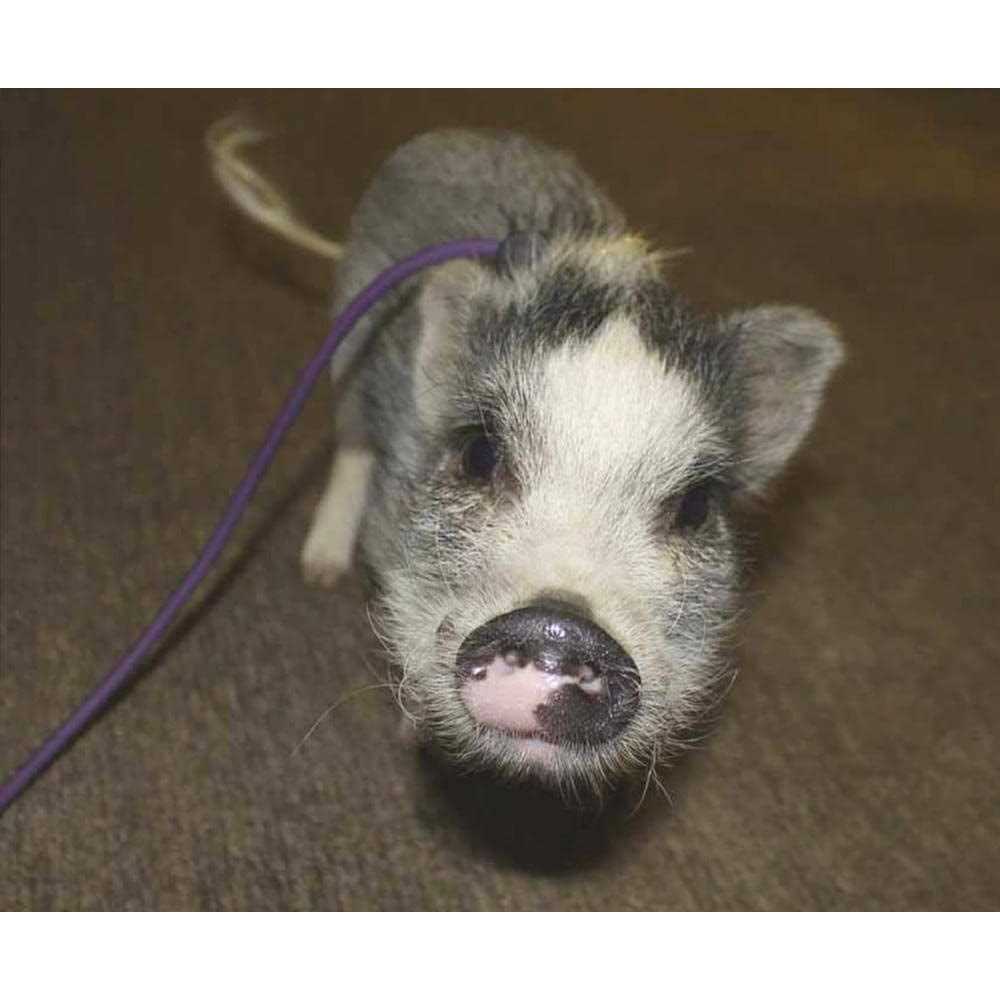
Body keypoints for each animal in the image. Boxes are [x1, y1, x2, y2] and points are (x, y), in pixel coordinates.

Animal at [210, 123, 844, 799]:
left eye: (695, 505)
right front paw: (414, 734)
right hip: (351, 330)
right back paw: (321, 568)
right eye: (480, 454)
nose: (558, 627)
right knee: (351, 439)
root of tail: (459, 135)